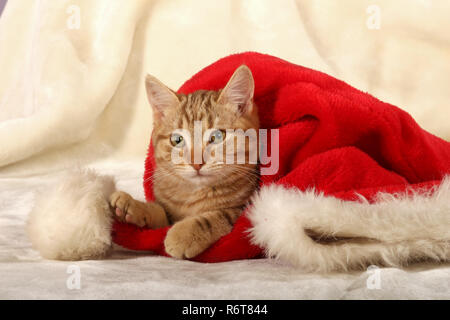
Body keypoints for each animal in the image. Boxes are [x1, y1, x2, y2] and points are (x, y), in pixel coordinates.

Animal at [108, 65, 260, 260]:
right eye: (177, 140)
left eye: (217, 137)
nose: (196, 163)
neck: (194, 194)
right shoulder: (168, 214)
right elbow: (160, 212)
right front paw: (133, 206)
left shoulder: (244, 208)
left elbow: (221, 214)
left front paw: (183, 234)